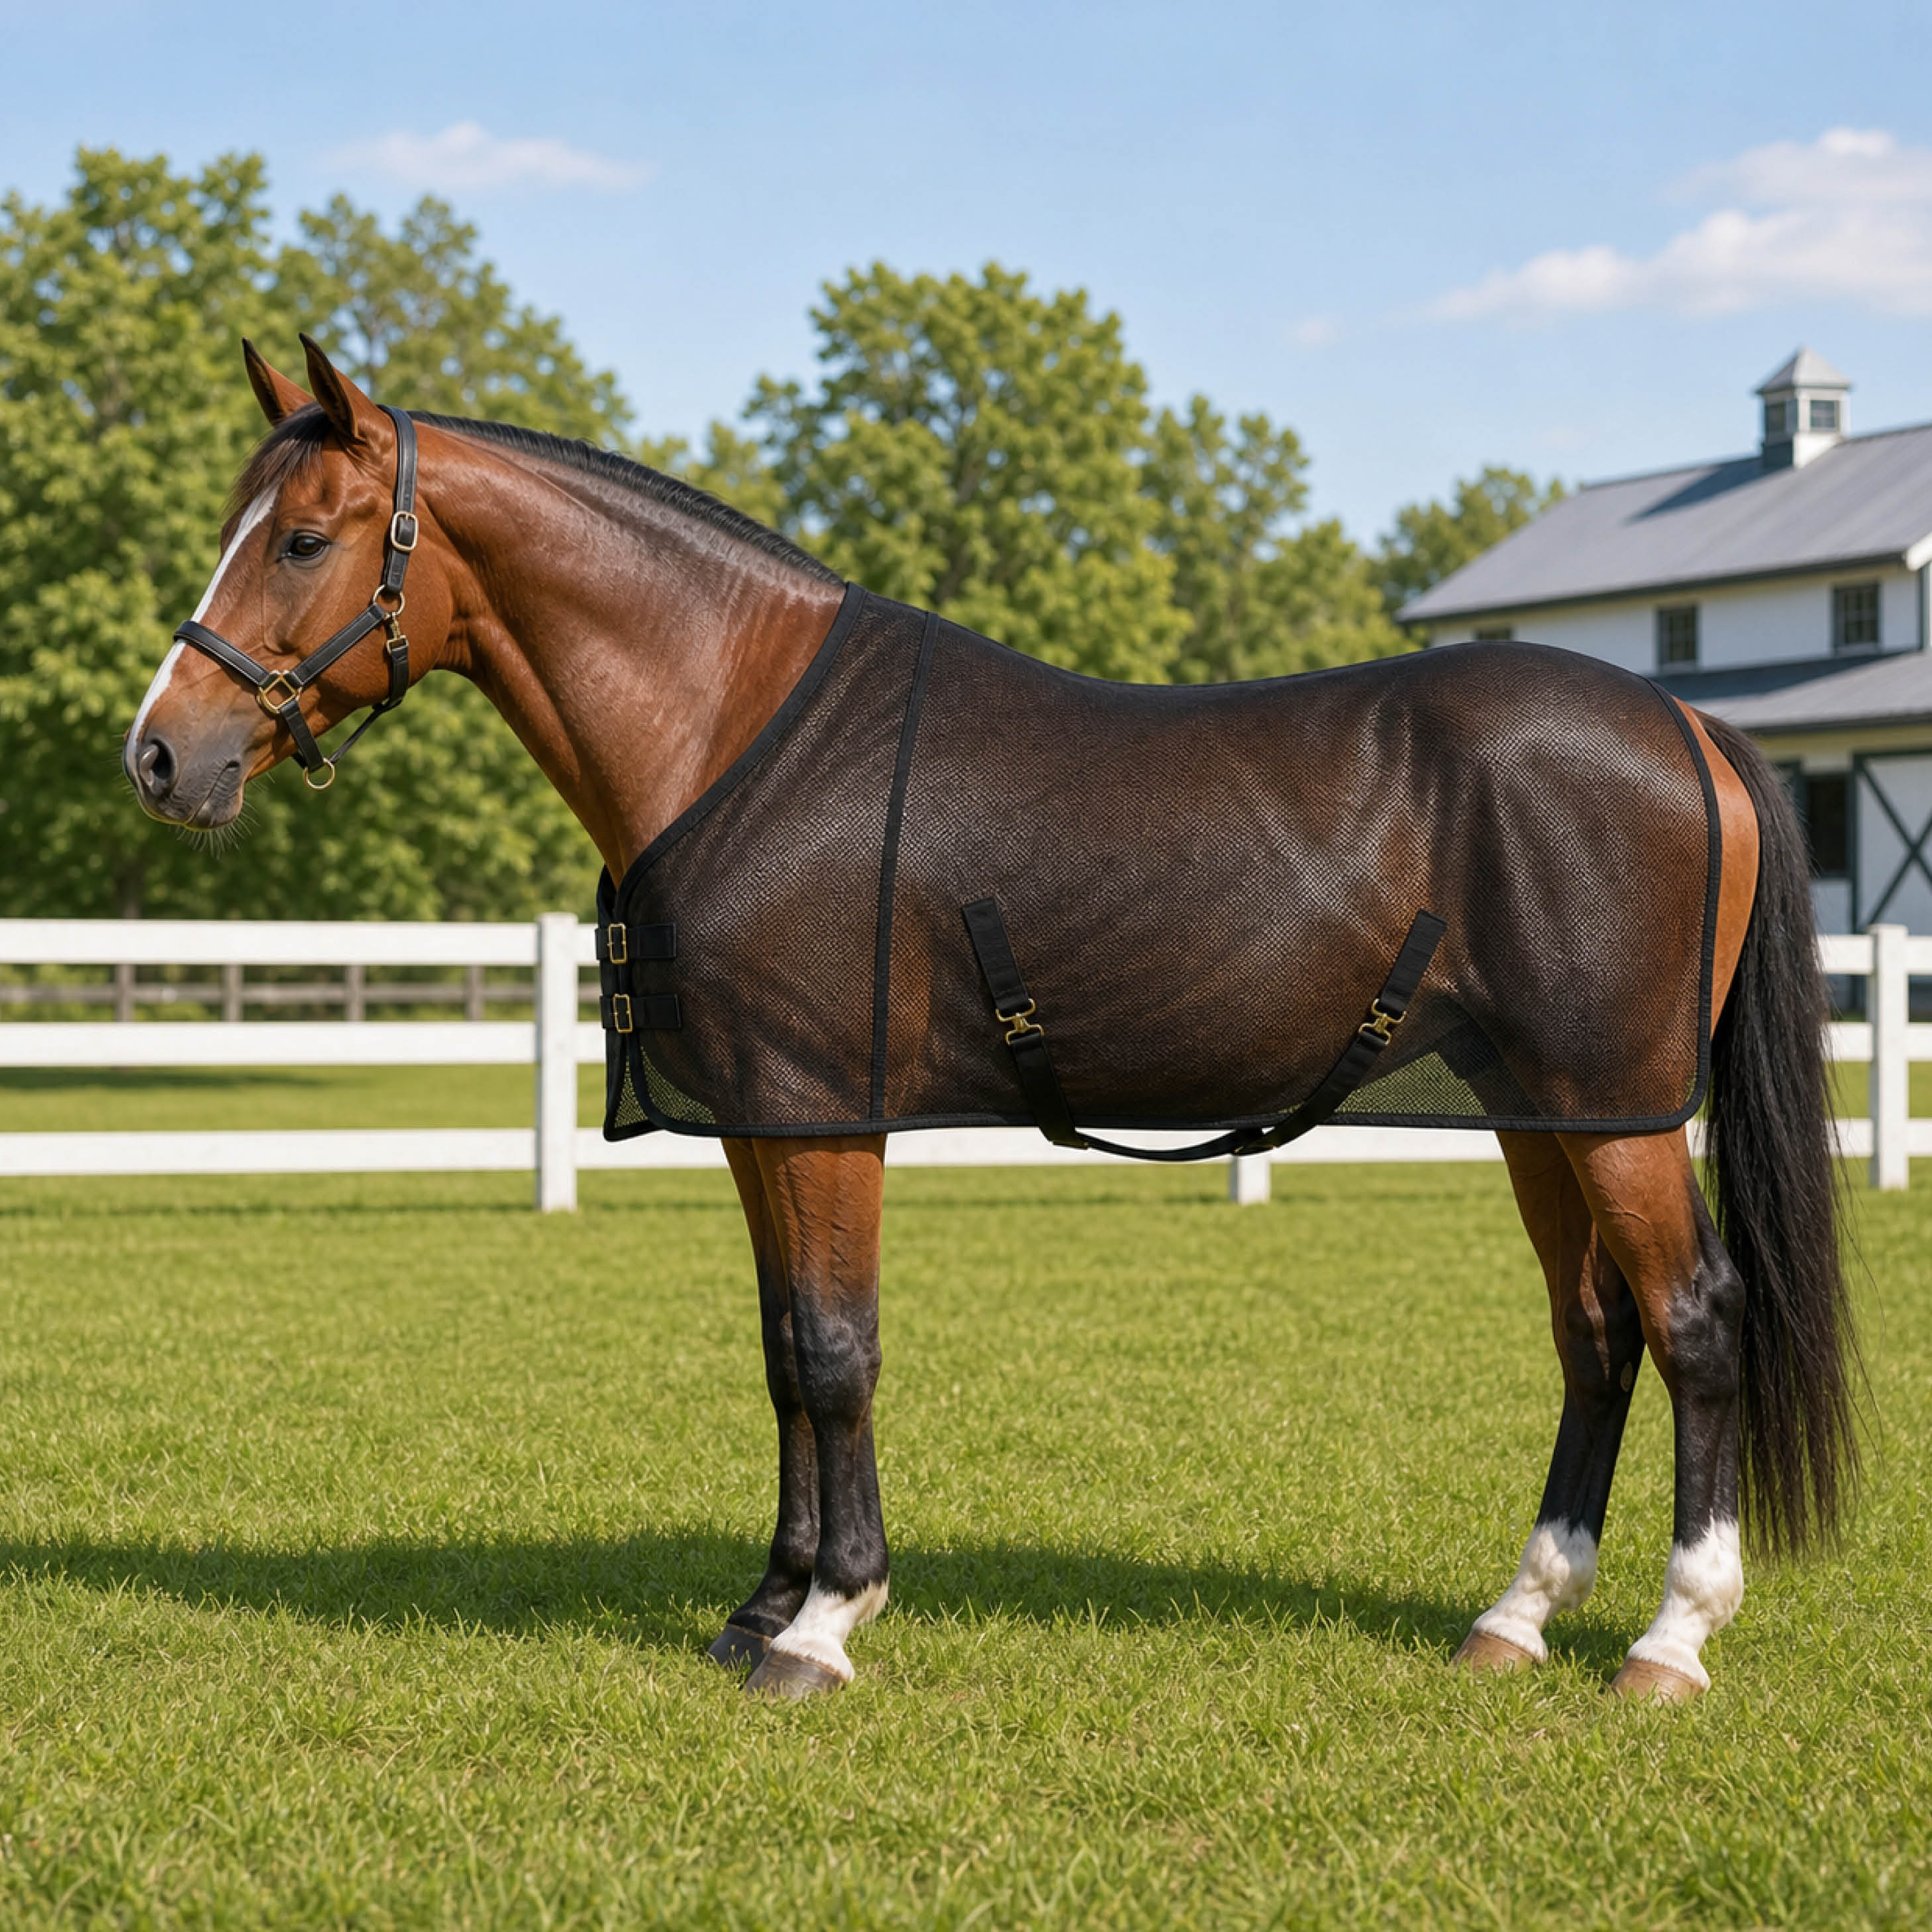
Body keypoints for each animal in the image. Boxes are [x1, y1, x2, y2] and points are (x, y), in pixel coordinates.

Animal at [123, 336, 1859, 1701]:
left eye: (303, 539)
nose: (161, 753)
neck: (733, 716)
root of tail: (1686, 725)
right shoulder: (766, 1120)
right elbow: (781, 1349)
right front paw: (764, 1601)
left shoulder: (826, 1117)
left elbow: (836, 1349)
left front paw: (825, 1623)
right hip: (1537, 1107)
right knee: (1594, 1328)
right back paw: (1515, 1616)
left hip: (1616, 1108)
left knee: (1693, 1317)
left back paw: (1669, 1638)